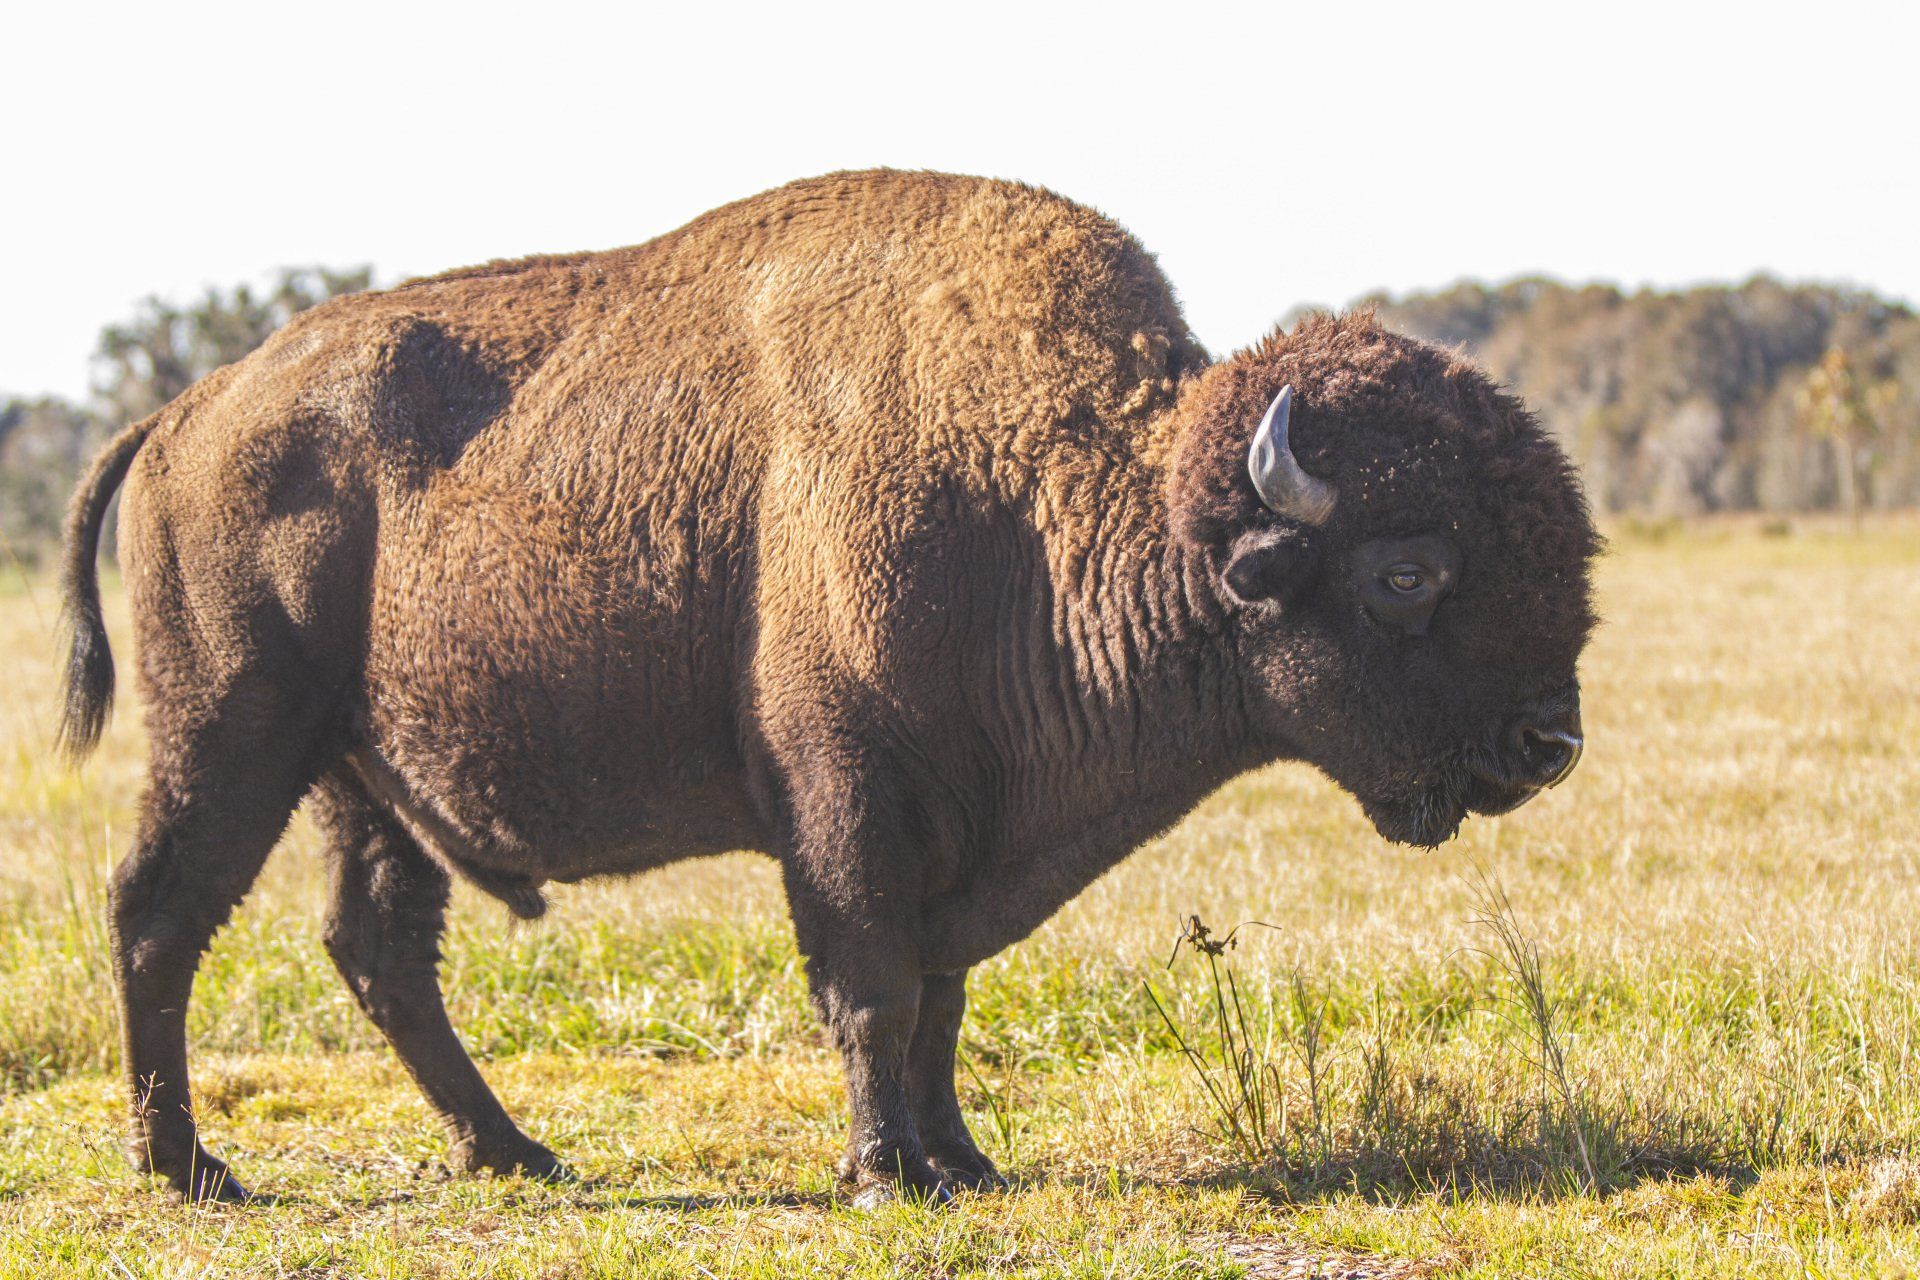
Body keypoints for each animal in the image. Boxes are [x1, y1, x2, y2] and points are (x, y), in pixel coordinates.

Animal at [59, 169, 1597, 1204]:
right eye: (1408, 572)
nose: (1551, 742)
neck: (1052, 501)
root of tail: (187, 411)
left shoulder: (962, 834)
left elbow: (942, 997)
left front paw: (962, 1161)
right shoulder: (849, 804)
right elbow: (872, 988)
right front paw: (881, 1173)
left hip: (363, 781)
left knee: (377, 945)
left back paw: (516, 1151)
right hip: (232, 736)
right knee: (160, 911)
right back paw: (191, 1169)